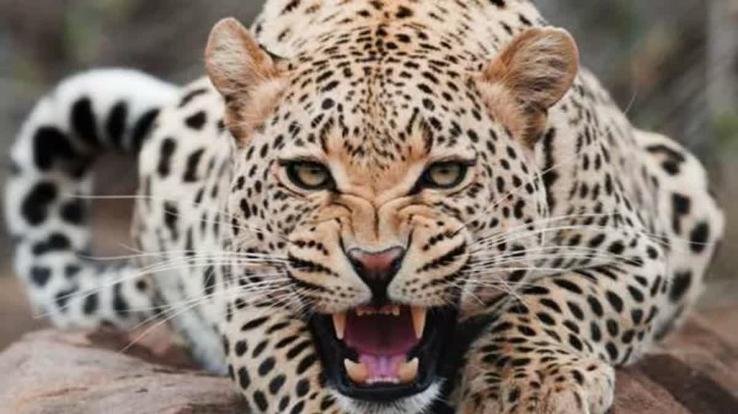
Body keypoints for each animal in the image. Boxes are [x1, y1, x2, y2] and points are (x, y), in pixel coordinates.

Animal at [5, 1, 725, 413]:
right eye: (306, 174)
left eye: (445, 173)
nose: (376, 263)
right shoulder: (246, 293)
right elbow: (293, 374)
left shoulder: (633, 251)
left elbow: (561, 298)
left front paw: (529, 384)